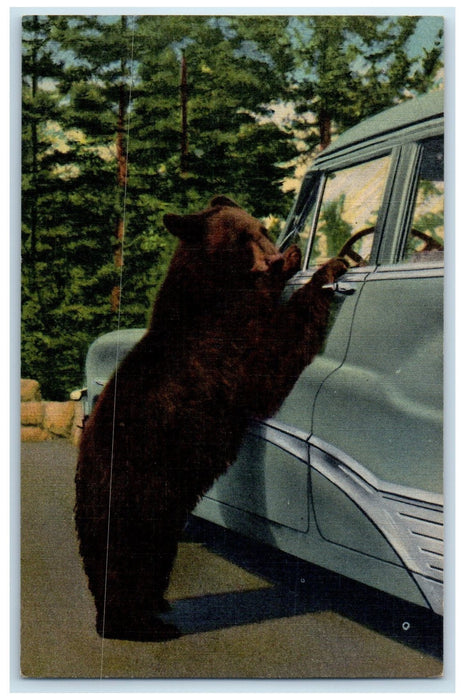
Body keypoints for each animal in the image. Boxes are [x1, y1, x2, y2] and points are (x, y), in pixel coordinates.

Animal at [75, 195, 347, 642]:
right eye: (245, 236)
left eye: (262, 228)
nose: (277, 253)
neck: (216, 289)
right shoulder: (224, 347)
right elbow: (271, 358)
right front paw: (328, 268)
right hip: (139, 501)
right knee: (130, 564)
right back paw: (142, 625)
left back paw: (156, 604)